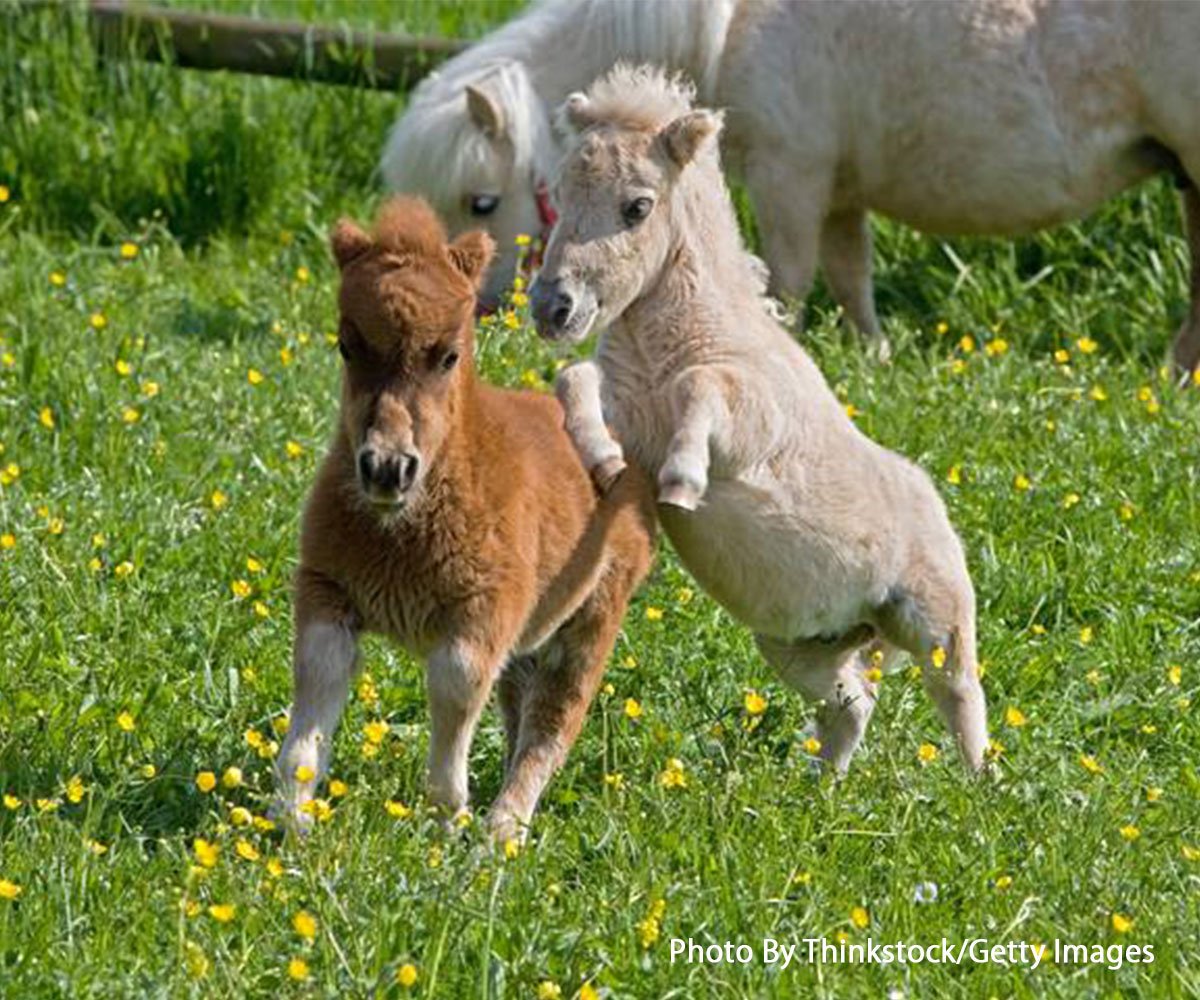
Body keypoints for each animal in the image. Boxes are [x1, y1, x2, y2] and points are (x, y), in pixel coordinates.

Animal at [274, 197, 655, 842]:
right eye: (348, 344)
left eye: (449, 354)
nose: (387, 468)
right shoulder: (327, 588)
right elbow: (316, 678)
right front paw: (292, 818)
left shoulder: (485, 610)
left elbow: (455, 683)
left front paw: (445, 819)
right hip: (534, 637)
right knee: (519, 704)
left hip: (593, 619)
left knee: (552, 724)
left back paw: (500, 836)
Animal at [380, 0, 1200, 376]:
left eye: (482, 202)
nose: (474, 313)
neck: (734, 23)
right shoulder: (838, 192)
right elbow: (851, 278)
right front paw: (874, 357)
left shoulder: (792, 177)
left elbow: (793, 283)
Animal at [531, 66, 988, 772]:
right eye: (558, 193)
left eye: (637, 206)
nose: (553, 307)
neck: (676, 344)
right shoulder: (628, 412)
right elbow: (574, 380)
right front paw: (600, 459)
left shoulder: (749, 419)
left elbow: (704, 389)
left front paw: (684, 482)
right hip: (796, 644)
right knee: (854, 703)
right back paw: (823, 783)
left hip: (935, 618)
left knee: (961, 692)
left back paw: (978, 784)